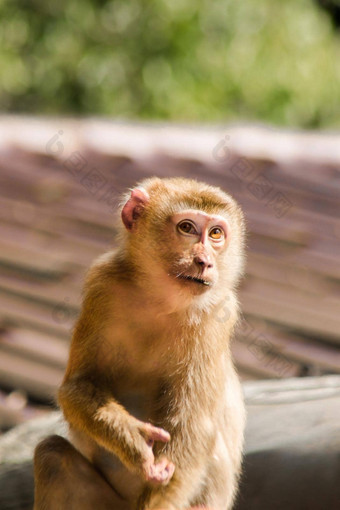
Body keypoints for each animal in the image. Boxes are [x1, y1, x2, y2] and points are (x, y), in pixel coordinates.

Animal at [33, 177, 246, 508]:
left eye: (215, 234)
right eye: (187, 227)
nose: (204, 261)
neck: (160, 301)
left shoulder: (216, 316)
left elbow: (193, 428)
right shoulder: (103, 284)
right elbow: (76, 386)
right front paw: (133, 441)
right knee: (51, 457)